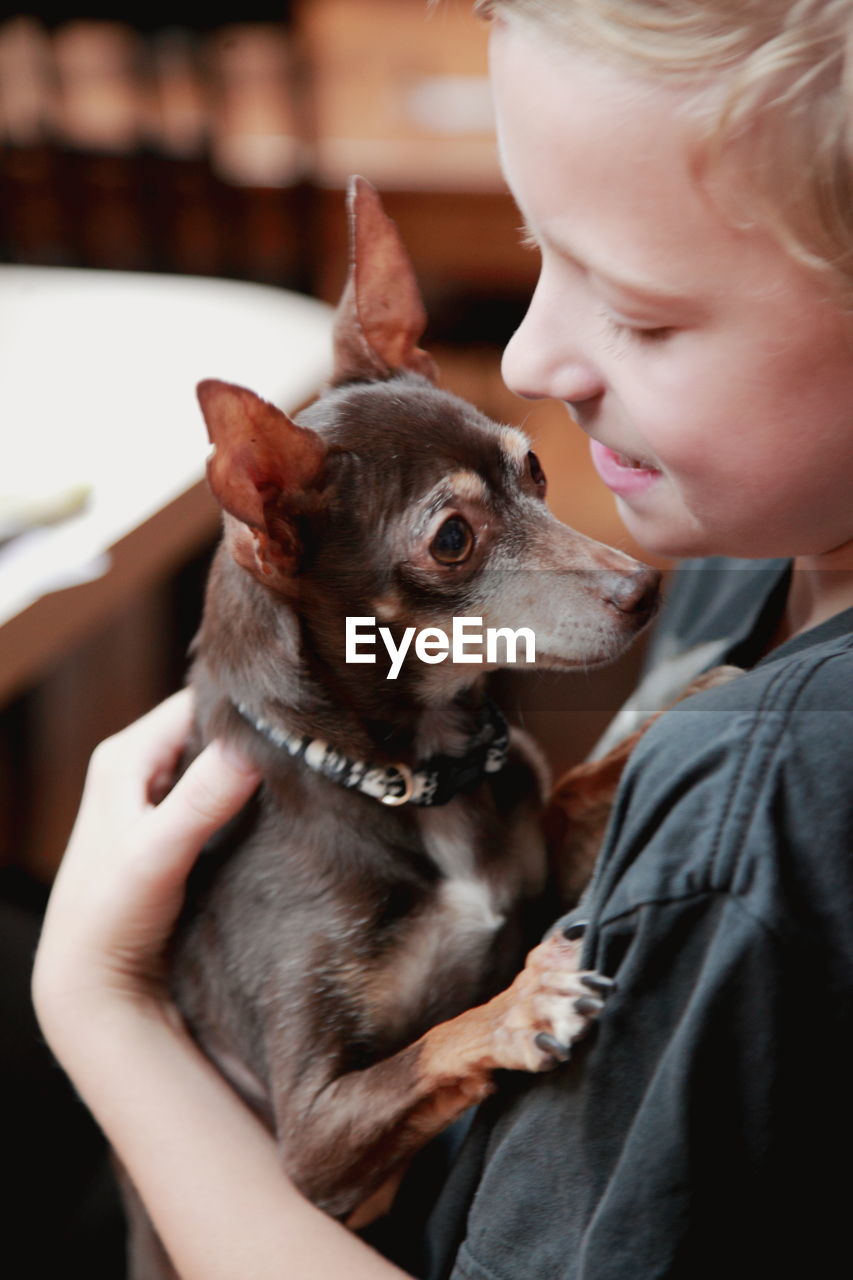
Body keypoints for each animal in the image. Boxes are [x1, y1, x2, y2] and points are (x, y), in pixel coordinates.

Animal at [119, 180, 655, 1280]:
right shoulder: (309, 1141)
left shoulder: (530, 852)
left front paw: (694, 690)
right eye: (450, 540)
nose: (643, 590)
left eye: (535, 469)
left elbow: (575, 791)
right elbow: (433, 1044)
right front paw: (520, 1005)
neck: (415, 779)